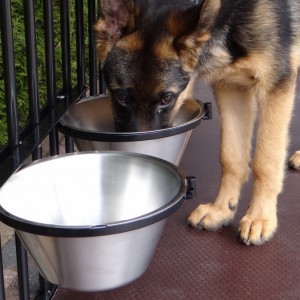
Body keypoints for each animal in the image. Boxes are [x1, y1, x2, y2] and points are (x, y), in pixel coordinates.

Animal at [94, 0, 300, 246]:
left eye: (167, 98)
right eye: (122, 96)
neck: (228, 13)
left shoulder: (274, 88)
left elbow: (265, 161)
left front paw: (260, 217)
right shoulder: (232, 88)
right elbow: (231, 157)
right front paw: (222, 209)